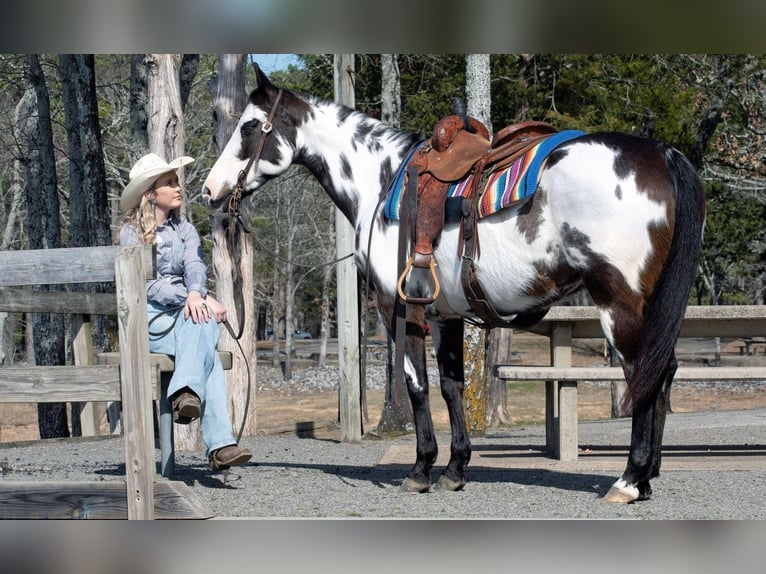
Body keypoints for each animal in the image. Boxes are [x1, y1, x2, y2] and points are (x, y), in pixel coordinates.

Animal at [202, 65, 706, 503]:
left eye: (249, 127)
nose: (209, 191)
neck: (381, 182)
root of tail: (661, 153)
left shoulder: (400, 309)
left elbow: (417, 386)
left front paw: (421, 468)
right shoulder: (446, 315)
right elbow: (451, 386)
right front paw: (456, 468)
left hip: (618, 304)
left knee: (643, 374)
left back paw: (628, 480)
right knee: (663, 372)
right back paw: (647, 476)